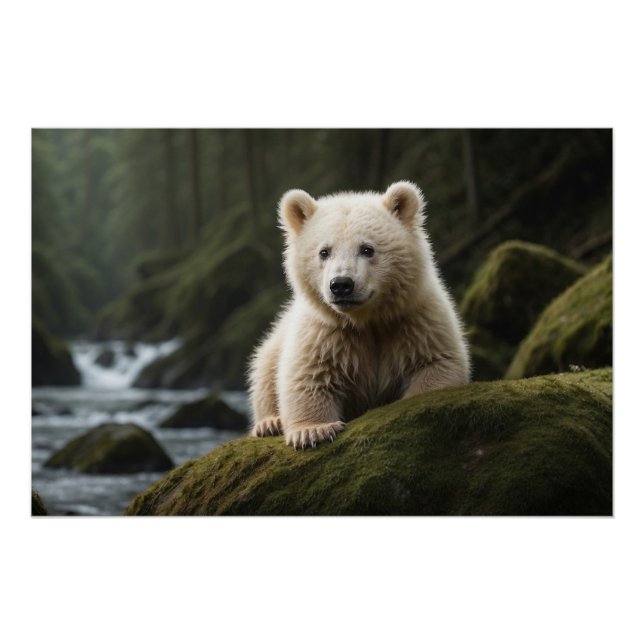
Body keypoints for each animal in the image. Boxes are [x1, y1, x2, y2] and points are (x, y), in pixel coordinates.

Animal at [248, 181, 470, 450]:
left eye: (367, 249)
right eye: (324, 252)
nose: (341, 285)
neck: (366, 320)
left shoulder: (417, 319)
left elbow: (438, 362)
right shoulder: (324, 332)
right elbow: (308, 375)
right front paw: (314, 430)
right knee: (264, 365)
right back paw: (269, 423)